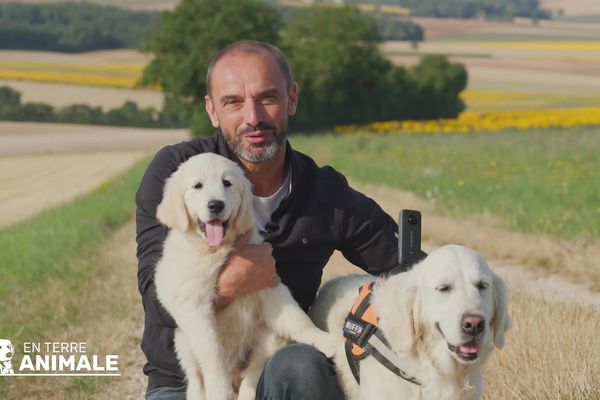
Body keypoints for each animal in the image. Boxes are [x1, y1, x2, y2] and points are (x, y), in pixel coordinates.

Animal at [154, 153, 332, 400]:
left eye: (227, 183)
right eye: (197, 186)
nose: (216, 205)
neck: (217, 249)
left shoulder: (268, 281)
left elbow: (296, 317)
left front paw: (322, 338)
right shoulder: (191, 303)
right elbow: (213, 353)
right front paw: (220, 391)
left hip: (267, 339)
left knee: (253, 374)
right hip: (184, 348)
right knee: (197, 381)